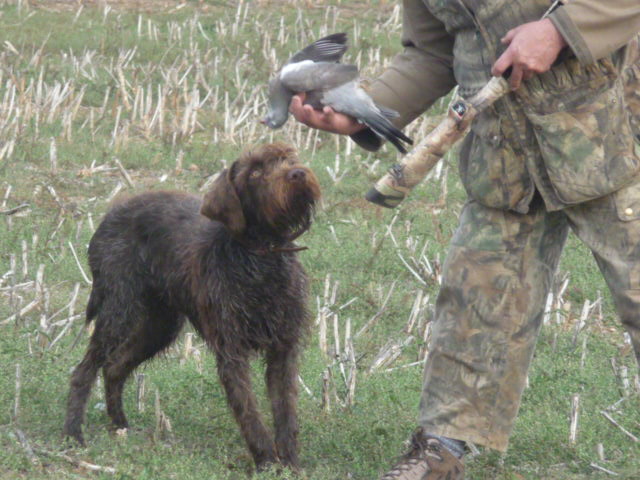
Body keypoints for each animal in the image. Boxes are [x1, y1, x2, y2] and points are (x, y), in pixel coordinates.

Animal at [63, 142, 320, 468]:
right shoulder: (231, 351)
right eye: (255, 172)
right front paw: (266, 460)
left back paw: (120, 424)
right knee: (84, 371)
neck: (262, 257)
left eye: (289, 157)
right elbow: (249, 410)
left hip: (160, 326)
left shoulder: (283, 348)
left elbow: (285, 410)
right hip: (119, 311)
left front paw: (289, 463)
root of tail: (110, 215)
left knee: (114, 367)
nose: (297, 173)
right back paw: (73, 433)